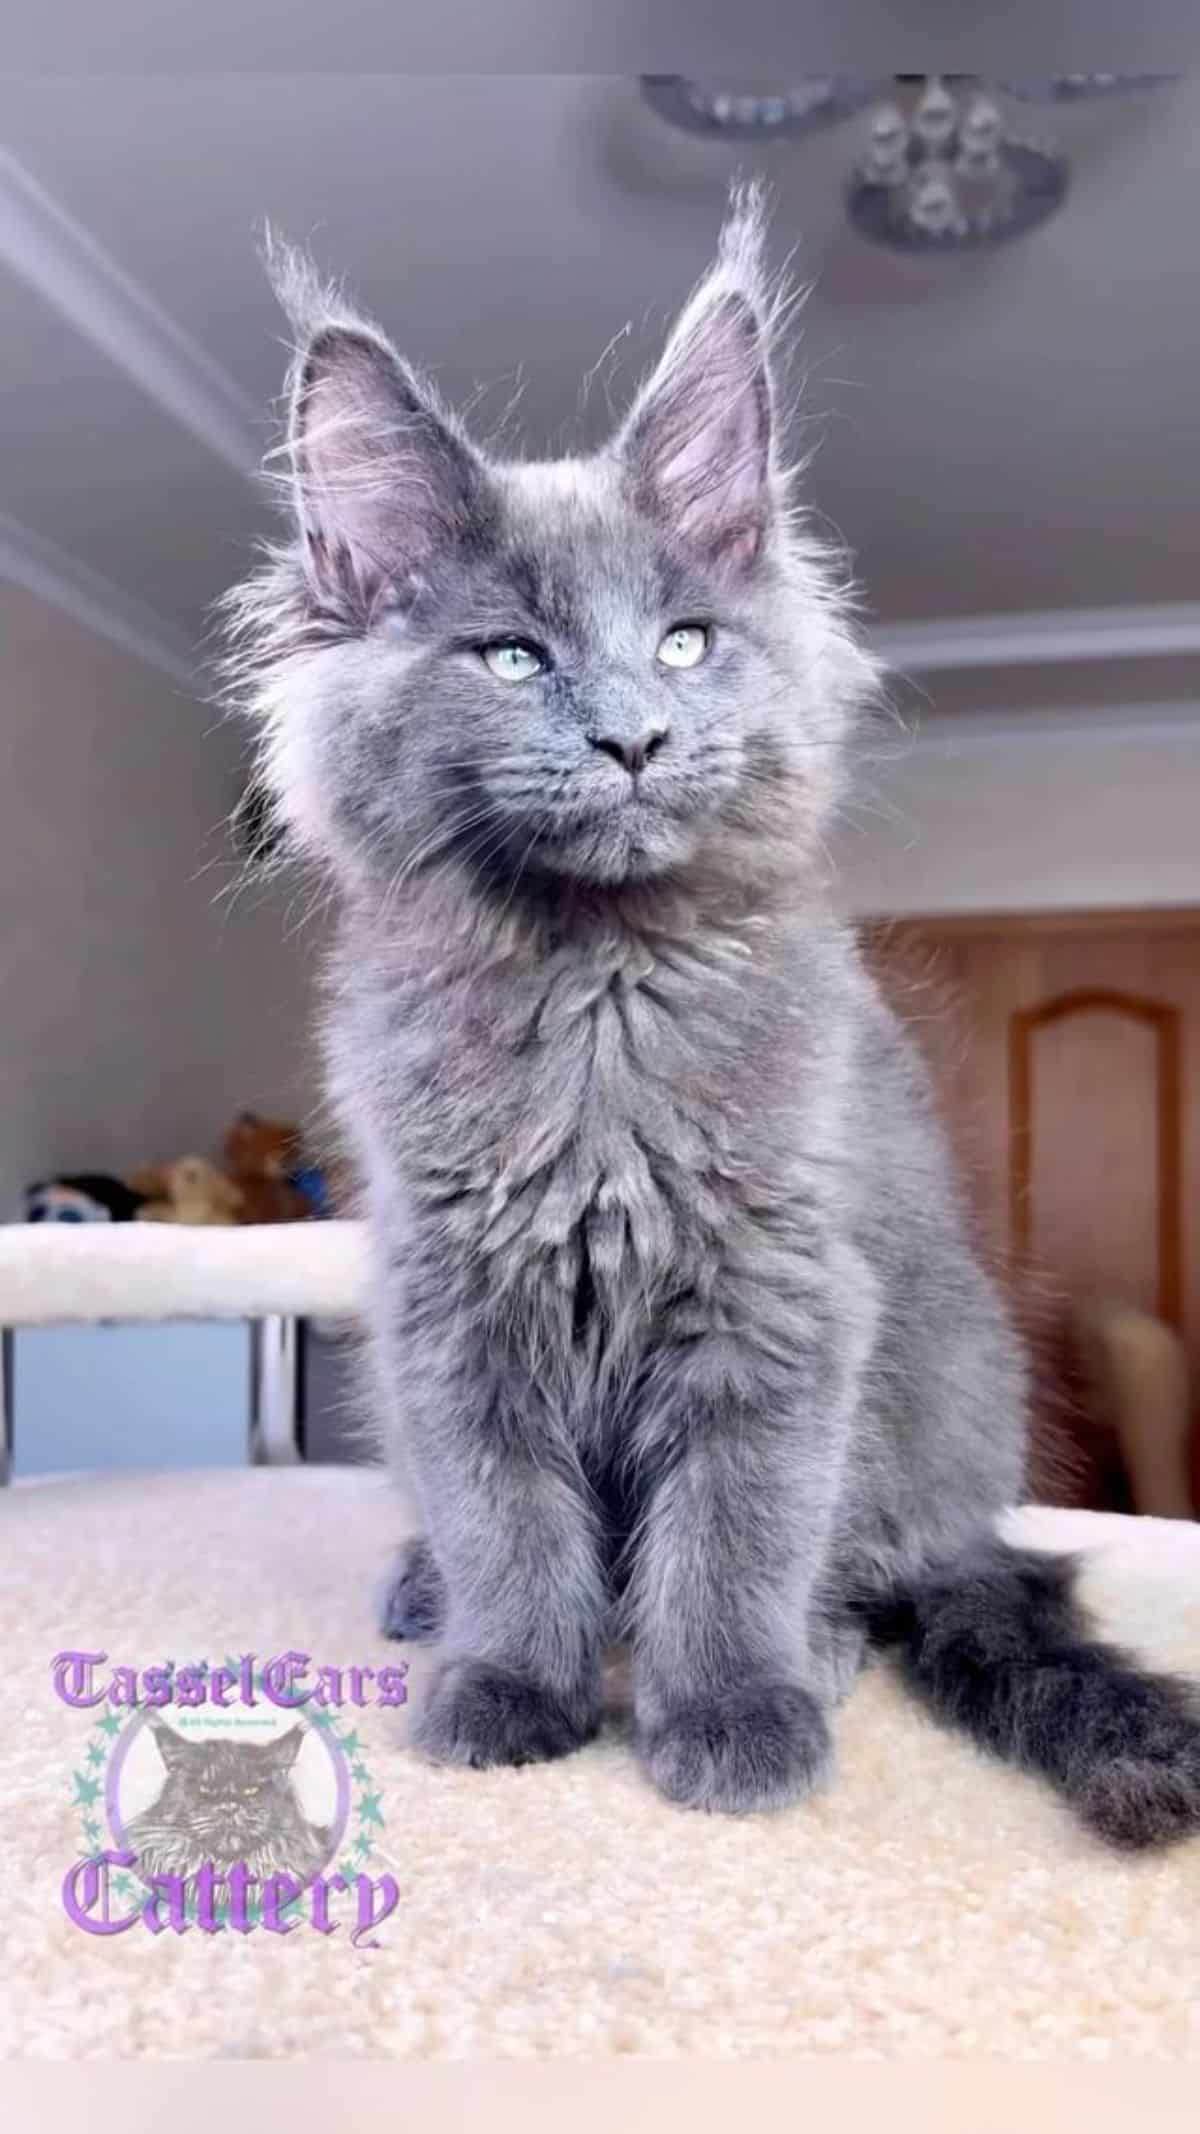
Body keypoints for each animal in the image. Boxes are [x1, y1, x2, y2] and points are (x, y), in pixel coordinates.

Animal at [222, 192, 1195, 1843]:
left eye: (683, 640)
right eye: (514, 657)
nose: (633, 735)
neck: (596, 996)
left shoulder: (780, 1296)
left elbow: (736, 1529)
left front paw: (731, 1712)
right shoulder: (454, 1305)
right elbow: (506, 1515)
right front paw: (512, 1682)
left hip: (932, 1379)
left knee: (876, 1564)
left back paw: (818, 1648)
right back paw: (425, 1593)